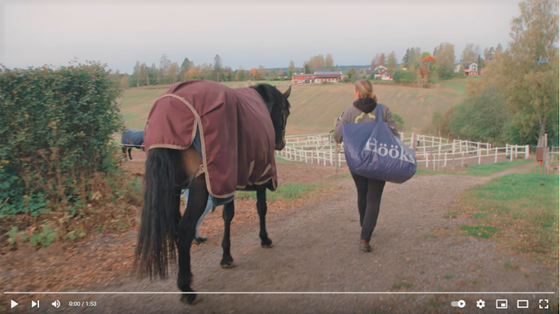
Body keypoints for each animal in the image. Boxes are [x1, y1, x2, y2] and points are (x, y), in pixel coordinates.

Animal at [135, 83, 290, 304]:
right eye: (285, 112)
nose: (280, 143)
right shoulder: (260, 176)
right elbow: (261, 208)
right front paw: (264, 238)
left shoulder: (229, 180)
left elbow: (228, 215)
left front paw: (226, 256)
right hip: (199, 187)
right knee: (185, 228)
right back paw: (186, 287)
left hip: (174, 189)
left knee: (174, 226)